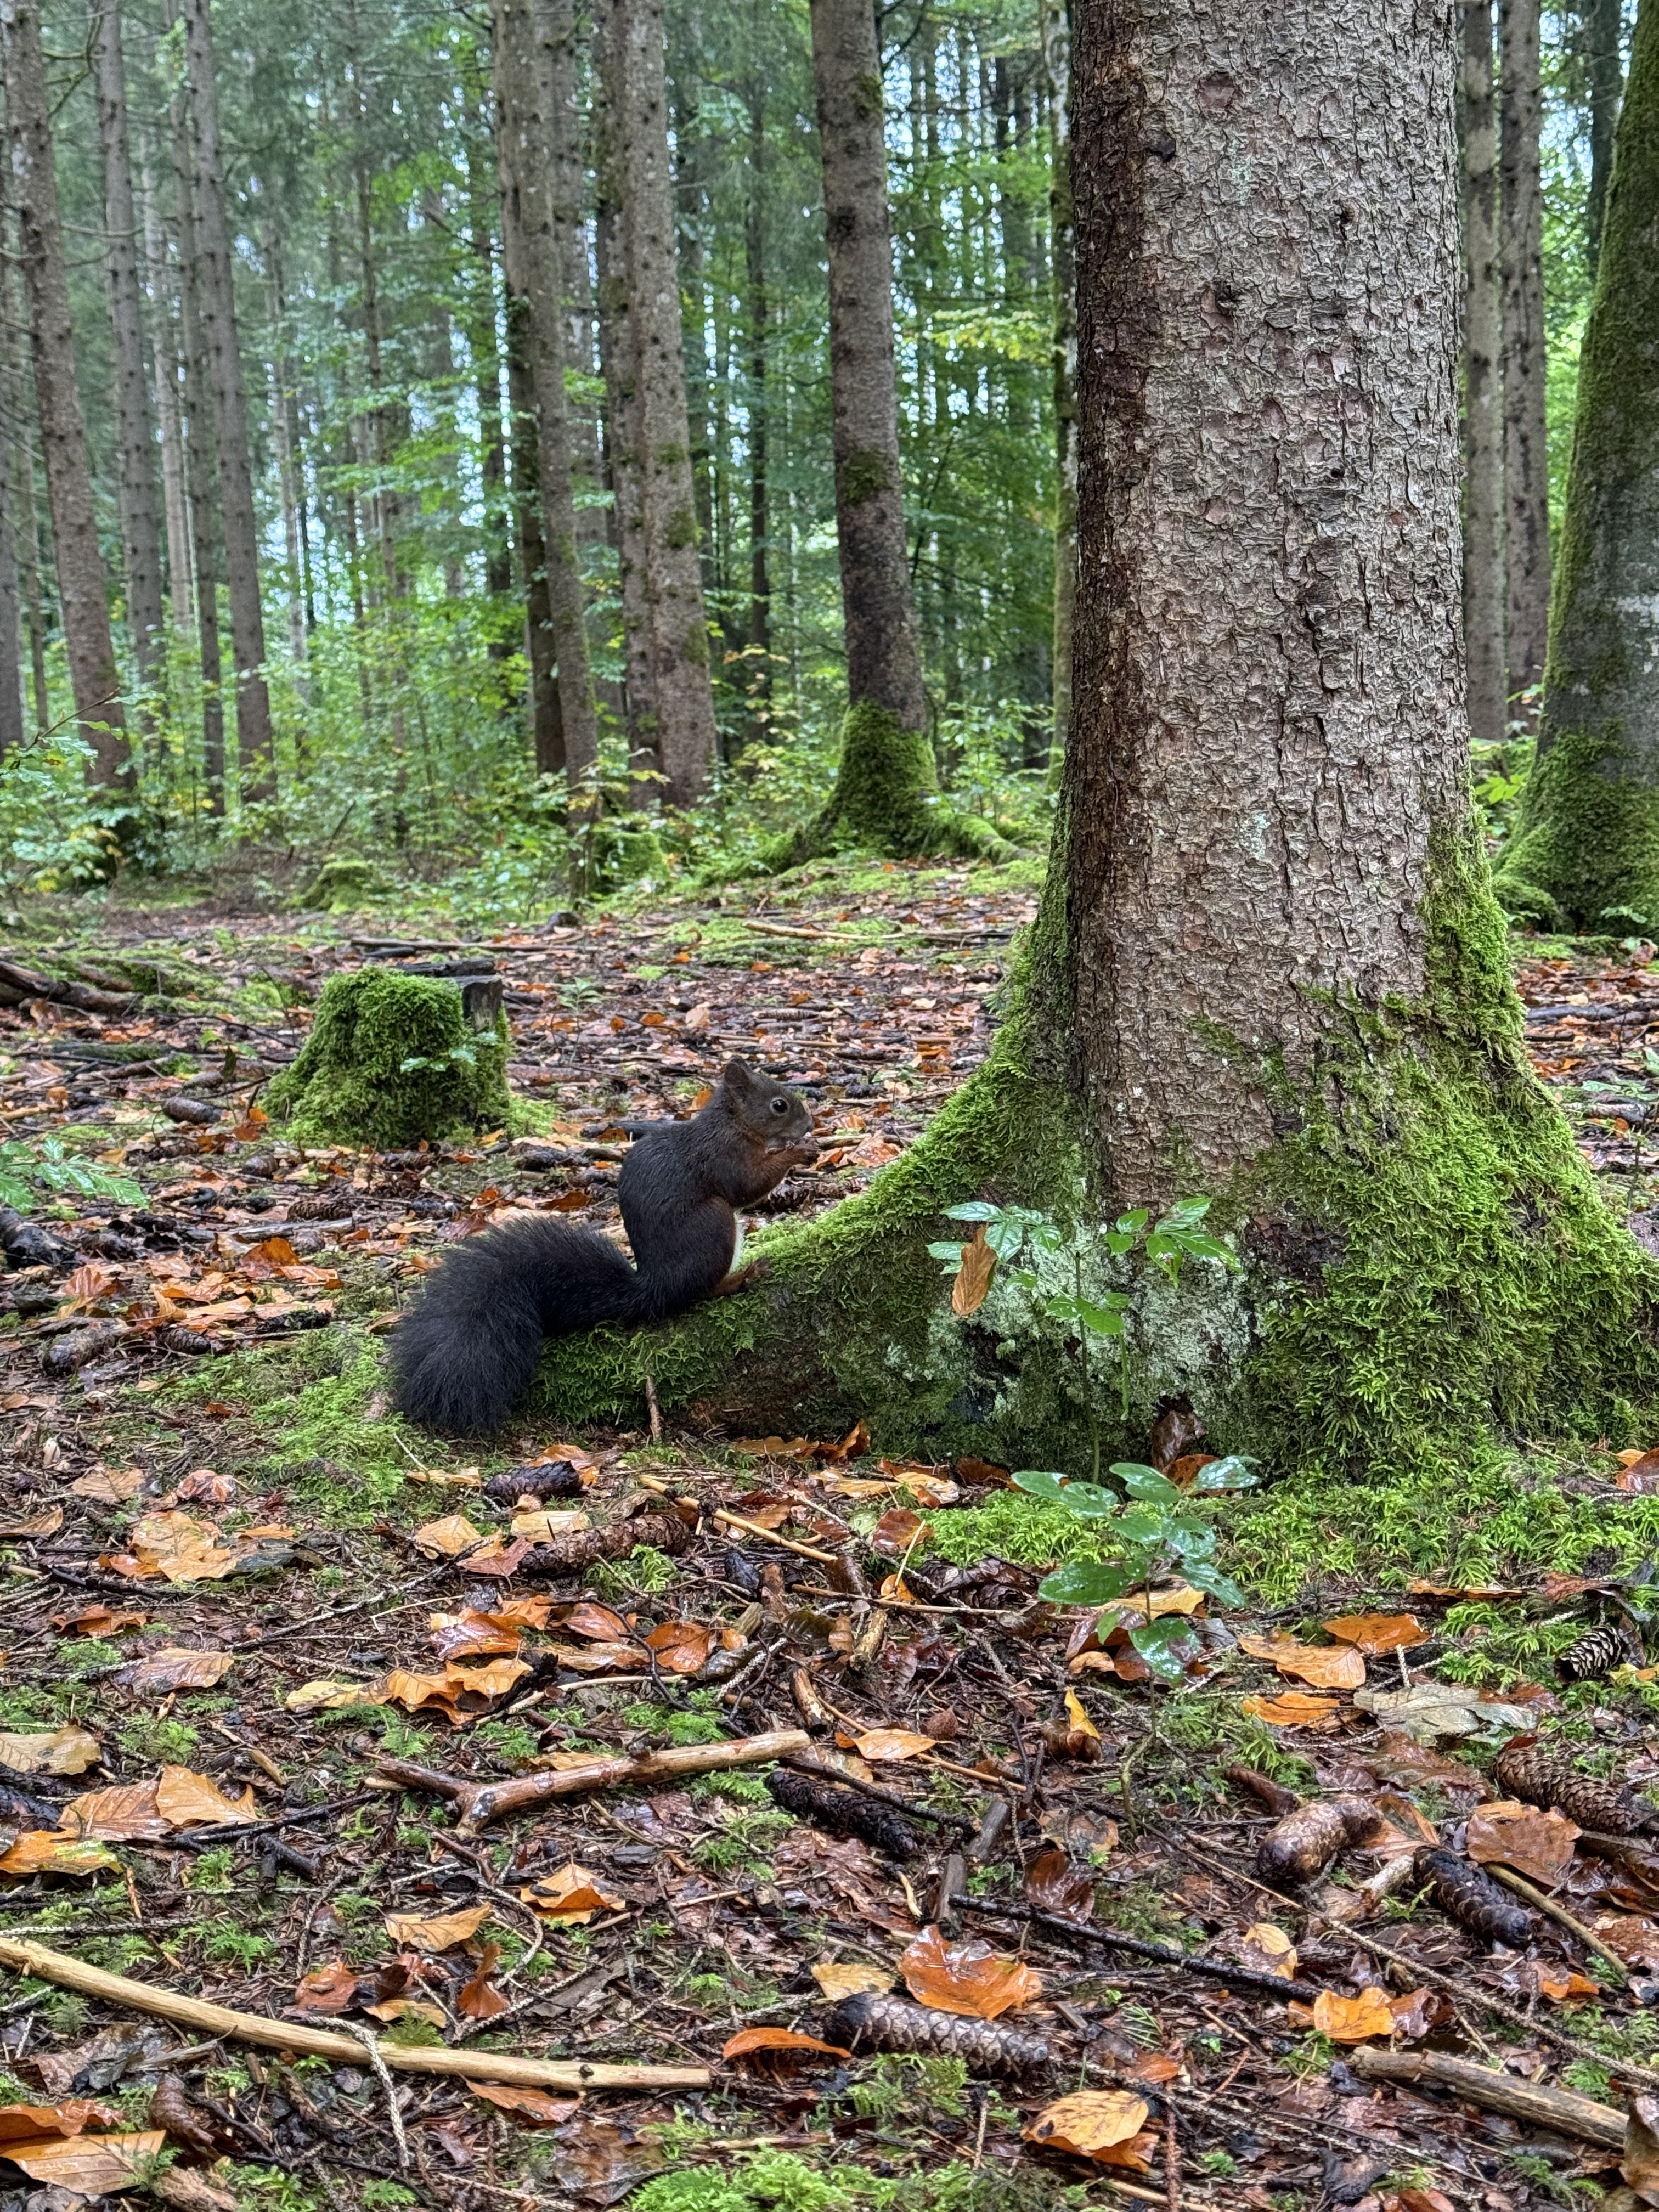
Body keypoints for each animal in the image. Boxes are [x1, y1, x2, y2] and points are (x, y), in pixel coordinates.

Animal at [388, 1059, 817, 1433]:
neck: (731, 1124)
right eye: (779, 1105)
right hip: (712, 1225)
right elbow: (746, 1187)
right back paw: (743, 1276)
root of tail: (654, 1285)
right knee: (700, 1291)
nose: (811, 1124)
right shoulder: (725, 1156)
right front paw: (800, 1151)